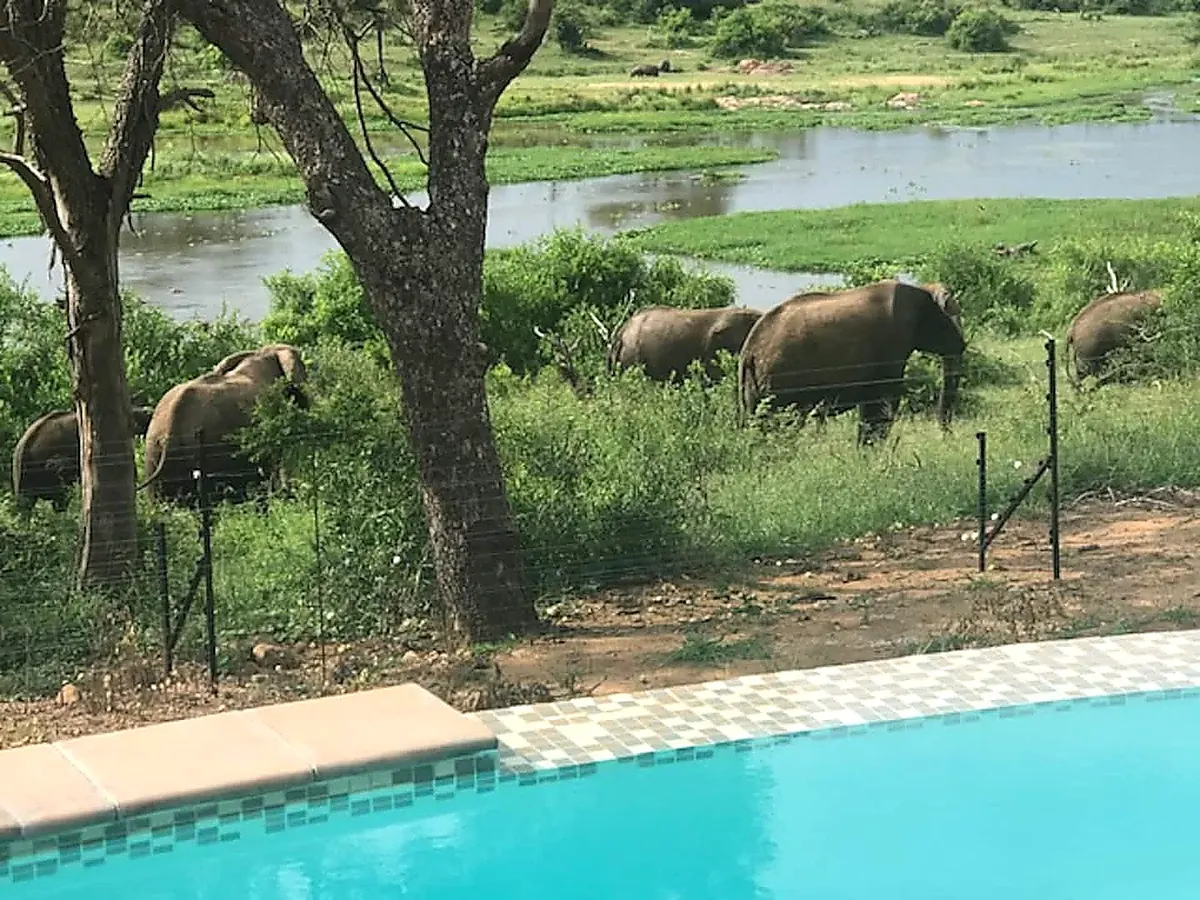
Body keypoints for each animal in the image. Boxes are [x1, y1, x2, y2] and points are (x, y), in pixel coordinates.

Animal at [738, 280, 966, 446]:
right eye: (953, 319)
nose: (946, 437)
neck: (923, 290)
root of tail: (748, 352)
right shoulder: (894, 341)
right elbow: (885, 400)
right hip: (780, 378)